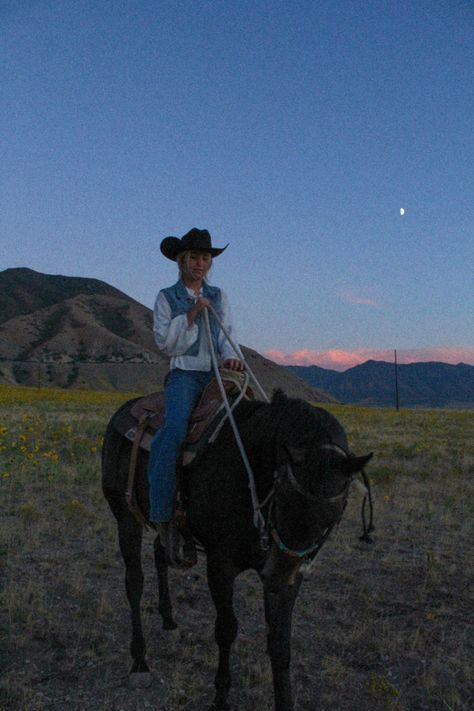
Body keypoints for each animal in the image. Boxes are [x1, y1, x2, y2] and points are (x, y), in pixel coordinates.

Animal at [102, 390, 372, 711]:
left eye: (332, 517)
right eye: (283, 499)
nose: (275, 577)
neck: (252, 472)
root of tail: (125, 409)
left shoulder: (291, 574)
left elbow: (280, 642)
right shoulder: (221, 566)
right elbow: (226, 629)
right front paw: (220, 697)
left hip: (166, 525)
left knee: (161, 553)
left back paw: (168, 619)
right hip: (125, 518)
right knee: (134, 582)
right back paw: (140, 661)